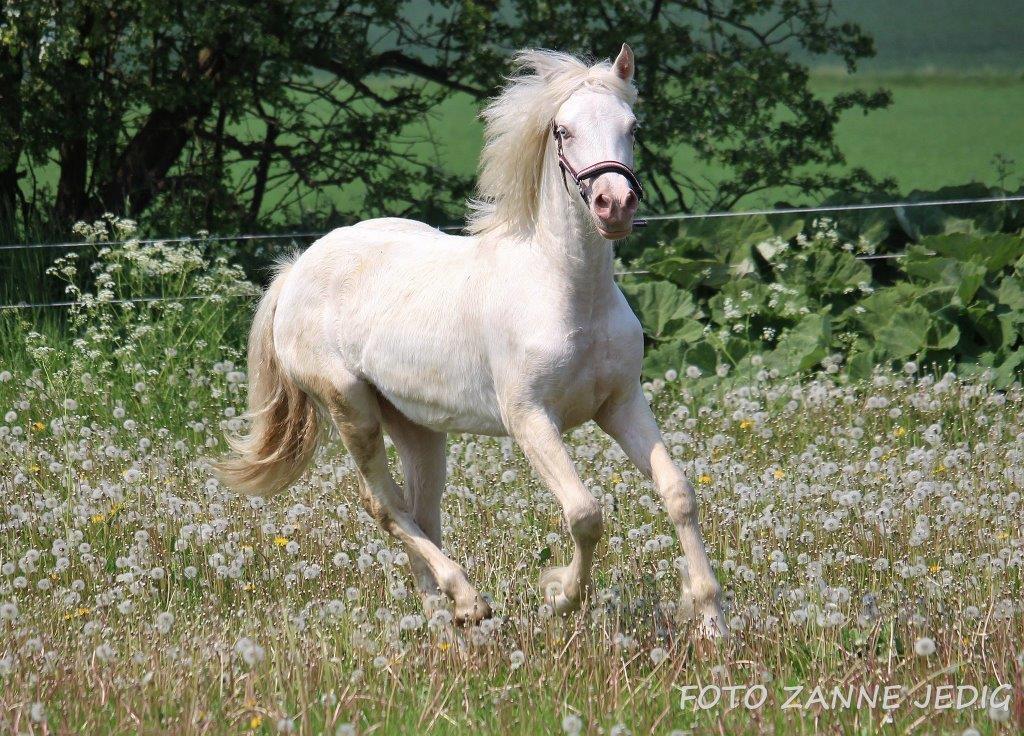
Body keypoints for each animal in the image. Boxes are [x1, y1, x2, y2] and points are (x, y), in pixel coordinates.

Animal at [219, 44, 724, 638]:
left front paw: (711, 618)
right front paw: (559, 596)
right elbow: (584, 513)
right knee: (384, 504)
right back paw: (467, 601)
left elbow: (678, 493)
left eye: (632, 126)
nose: (613, 204)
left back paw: (445, 617)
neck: (569, 294)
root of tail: (295, 270)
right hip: (351, 409)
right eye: (563, 130)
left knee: (418, 509)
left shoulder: (621, 403)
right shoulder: (529, 417)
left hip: (416, 427)